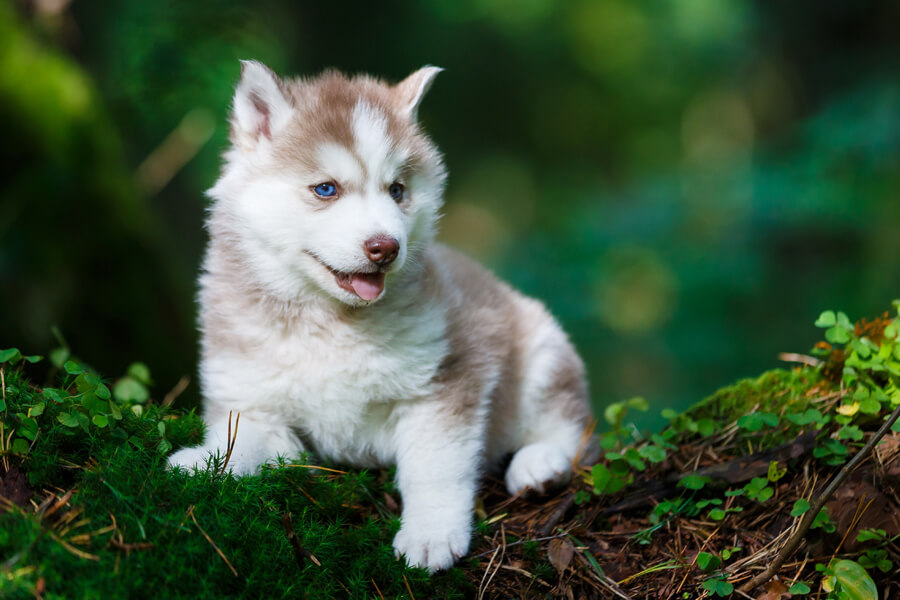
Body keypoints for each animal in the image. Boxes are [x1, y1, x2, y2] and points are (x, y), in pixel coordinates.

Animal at [168, 62, 592, 572]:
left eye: (397, 190)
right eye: (325, 189)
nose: (385, 247)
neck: (330, 323)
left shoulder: (445, 379)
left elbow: (435, 466)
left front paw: (431, 533)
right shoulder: (250, 400)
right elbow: (241, 442)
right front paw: (204, 462)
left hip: (541, 348)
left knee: (574, 427)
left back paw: (540, 463)